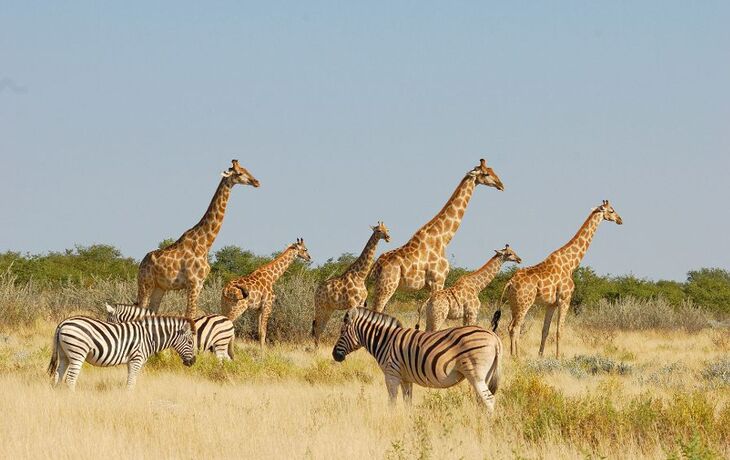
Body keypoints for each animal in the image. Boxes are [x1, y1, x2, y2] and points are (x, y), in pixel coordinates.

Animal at [47, 315, 196, 390]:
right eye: (190, 342)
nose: (193, 361)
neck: (149, 336)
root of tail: (64, 322)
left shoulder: (131, 361)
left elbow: (130, 380)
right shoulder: (137, 359)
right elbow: (132, 381)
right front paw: (130, 399)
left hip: (64, 354)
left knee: (58, 375)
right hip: (77, 353)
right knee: (70, 378)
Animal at [105, 303, 236, 361]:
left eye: (109, 320)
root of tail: (228, 320)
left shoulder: (165, 350)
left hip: (220, 344)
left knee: (221, 360)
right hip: (217, 346)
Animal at [332, 307, 502, 412]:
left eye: (342, 332)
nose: (334, 355)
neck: (385, 341)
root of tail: (494, 337)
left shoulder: (391, 375)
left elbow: (392, 402)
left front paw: (391, 420)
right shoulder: (406, 378)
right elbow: (407, 402)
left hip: (476, 375)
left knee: (489, 400)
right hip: (486, 376)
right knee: (483, 401)